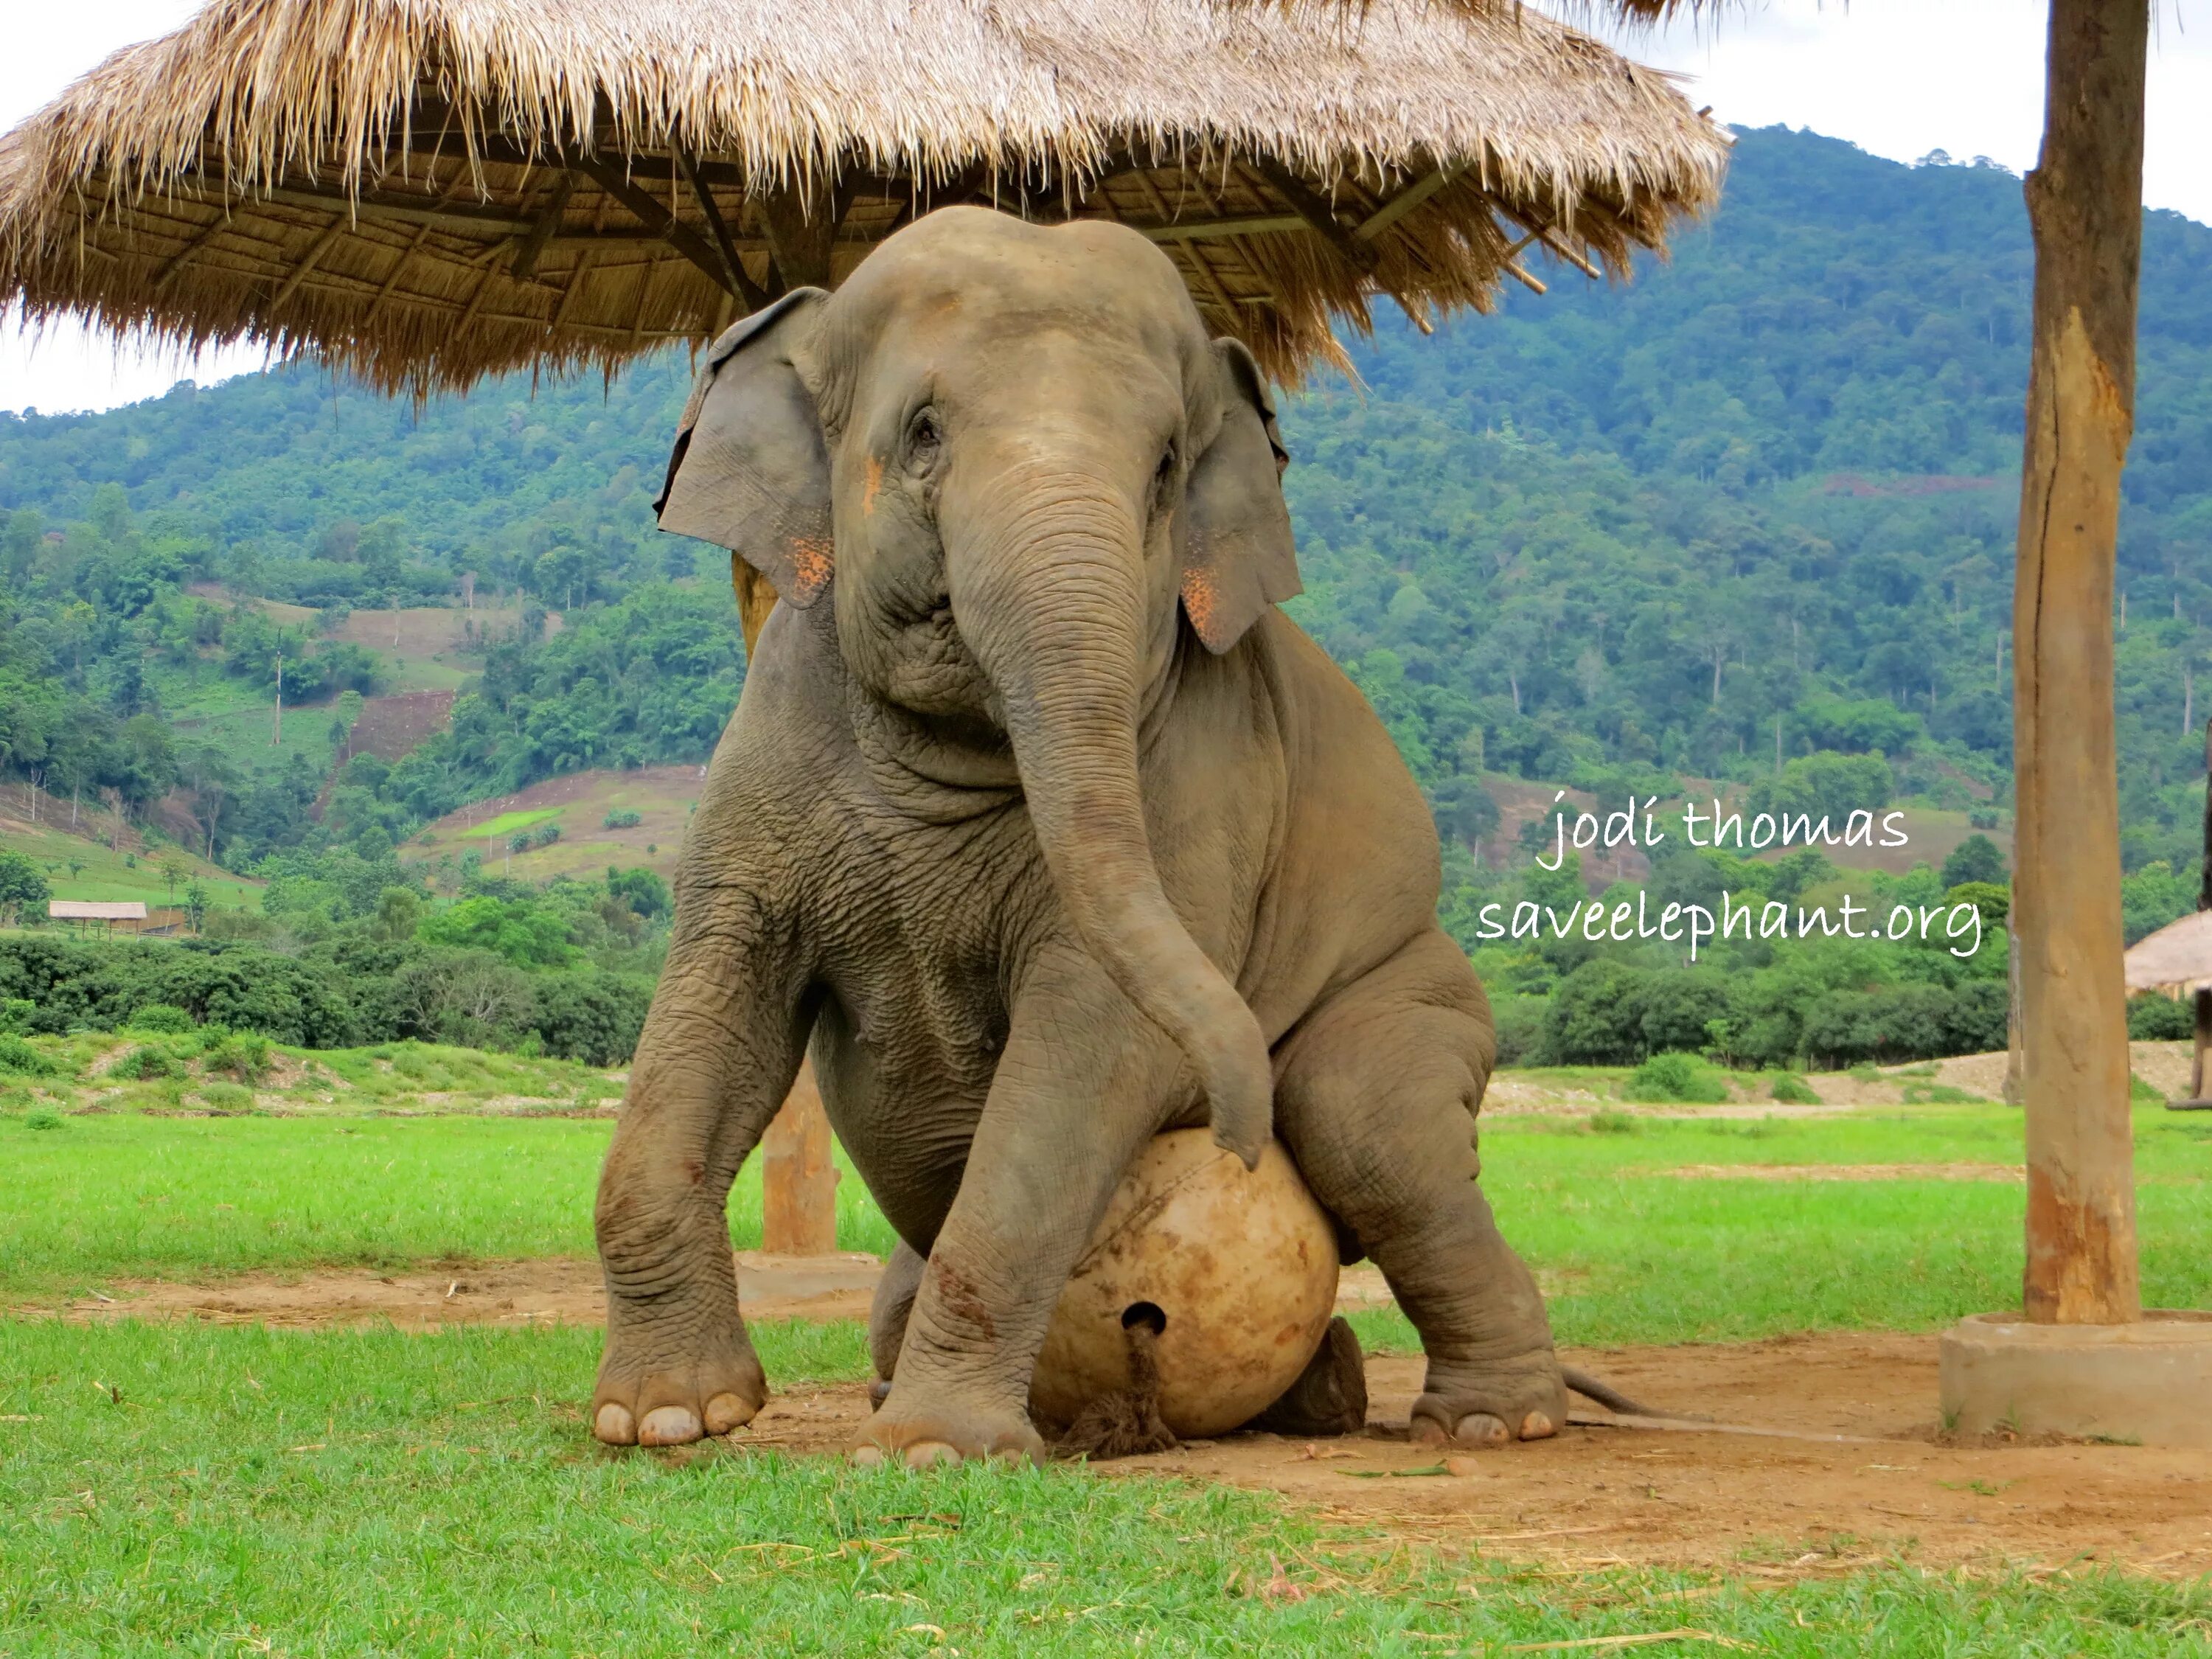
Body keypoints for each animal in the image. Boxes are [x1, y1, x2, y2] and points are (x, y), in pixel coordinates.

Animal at [580, 208, 1566, 1469]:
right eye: (924, 433)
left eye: (1164, 470)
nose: (1233, 1136)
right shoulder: (765, 756)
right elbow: (717, 1007)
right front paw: (664, 1417)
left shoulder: (1198, 767)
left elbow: (1094, 1046)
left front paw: (930, 1450)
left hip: (1420, 981)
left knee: (1371, 1125)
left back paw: (1487, 1417)